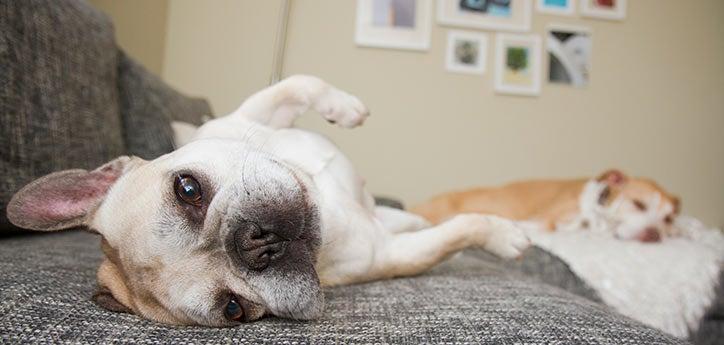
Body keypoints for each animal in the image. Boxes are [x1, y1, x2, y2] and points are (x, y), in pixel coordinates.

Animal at [5, 75, 528, 326]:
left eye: (187, 189)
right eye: (235, 309)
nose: (254, 243)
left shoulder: (249, 117)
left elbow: (295, 83)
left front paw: (345, 108)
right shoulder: (390, 255)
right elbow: (458, 230)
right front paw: (507, 236)